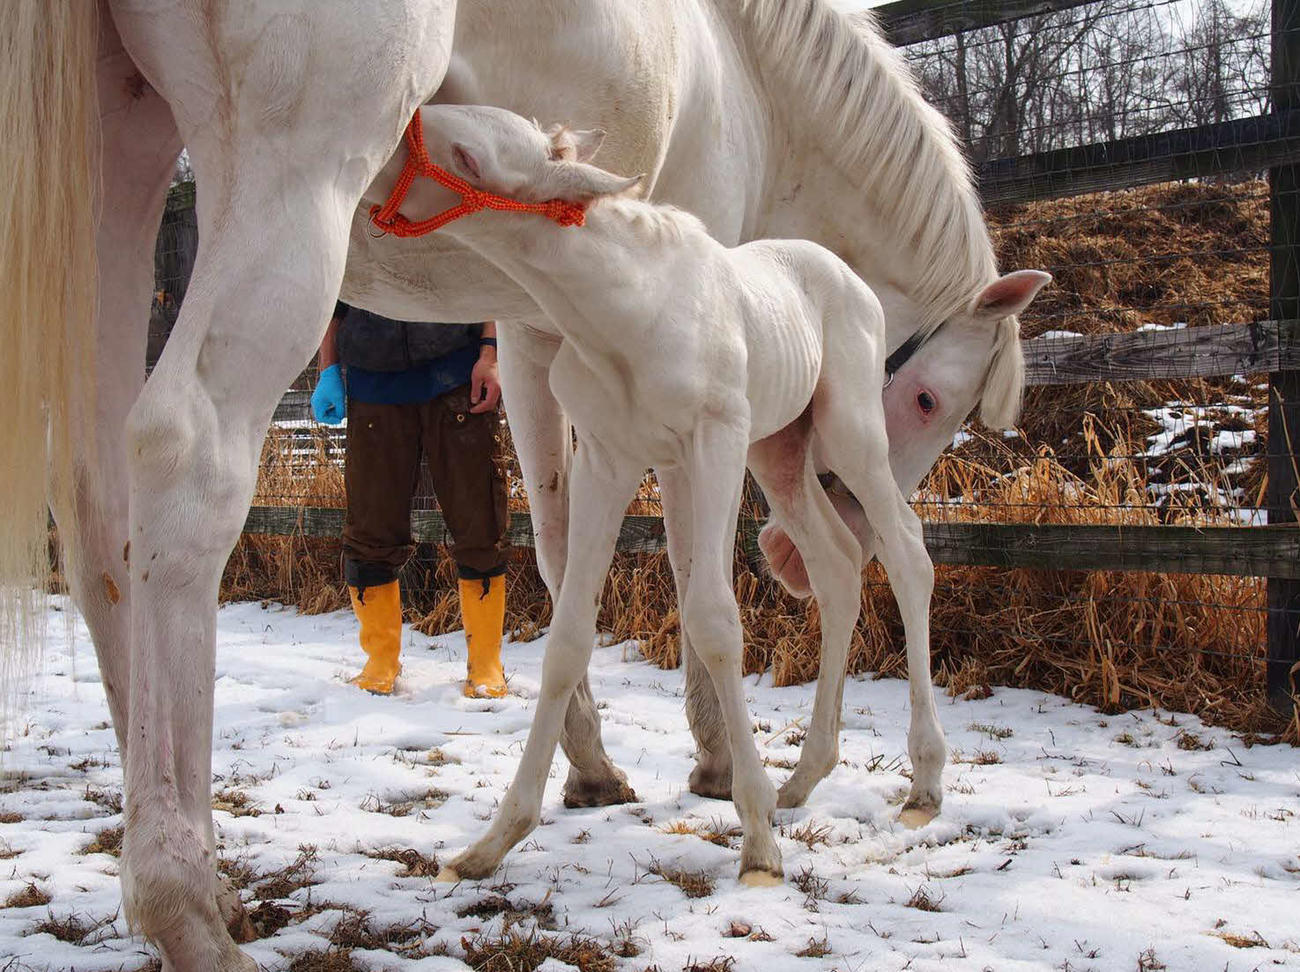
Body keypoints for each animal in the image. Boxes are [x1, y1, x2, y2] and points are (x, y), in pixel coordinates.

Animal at [0, 1, 1045, 968]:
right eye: (930, 399)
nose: (780, 556)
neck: (754, 73)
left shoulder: (538, 329)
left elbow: (556, 542)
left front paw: (591, 767)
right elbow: (668, 558)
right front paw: (709, 756)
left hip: (118, 161)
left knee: (100, 503)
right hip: (291, 169)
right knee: (184, 453)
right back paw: (184, 901)